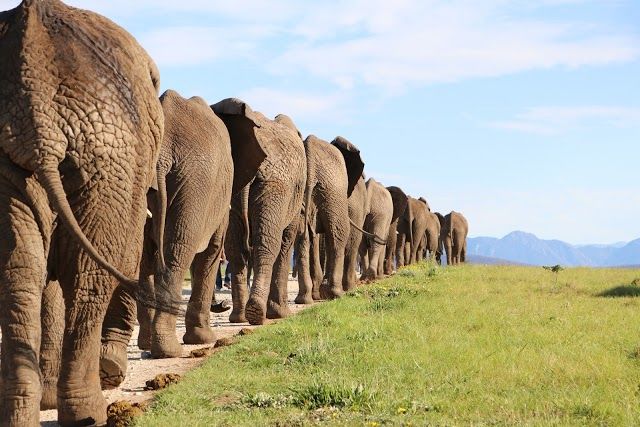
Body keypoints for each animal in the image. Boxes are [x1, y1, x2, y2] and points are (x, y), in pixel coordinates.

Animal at [213, 99, 306, 326]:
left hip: (235, 189)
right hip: (275, 186)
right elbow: (286, 242)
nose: (222, 304)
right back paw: (258, 314)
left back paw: (239, 317)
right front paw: (281, 314)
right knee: (269, 245)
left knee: (236, 249)